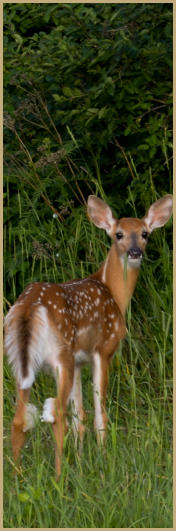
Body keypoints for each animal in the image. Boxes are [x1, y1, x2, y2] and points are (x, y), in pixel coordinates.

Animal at [3, 194, 172, 478]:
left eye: (145, 233)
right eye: (118, 234)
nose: (135, 252)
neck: (114, 293)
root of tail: (29, 308)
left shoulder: (80, 361)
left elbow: (80, 416)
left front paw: (82, 460)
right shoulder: (103, 350)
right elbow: (99, 414)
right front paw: (103, 460)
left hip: (20, 361)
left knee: (19, 417)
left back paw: (17, 478)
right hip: (61, 355)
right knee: (56, 414)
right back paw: (59, 477)